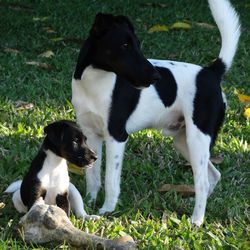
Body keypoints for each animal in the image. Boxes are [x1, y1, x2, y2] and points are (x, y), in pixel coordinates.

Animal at [71, 0, 240, 227]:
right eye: (124, 46)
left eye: (138, 45)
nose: (156, 77)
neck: (95, 81)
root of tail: (211, 72)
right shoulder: (91, 135)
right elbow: (93, 176)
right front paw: (88, 201)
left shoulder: (116, 136)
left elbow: (110, 180)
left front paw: (107, 209)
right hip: (183, 140)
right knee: (213, 175)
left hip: (197, 138)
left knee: (203, 181)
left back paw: (196, 219)